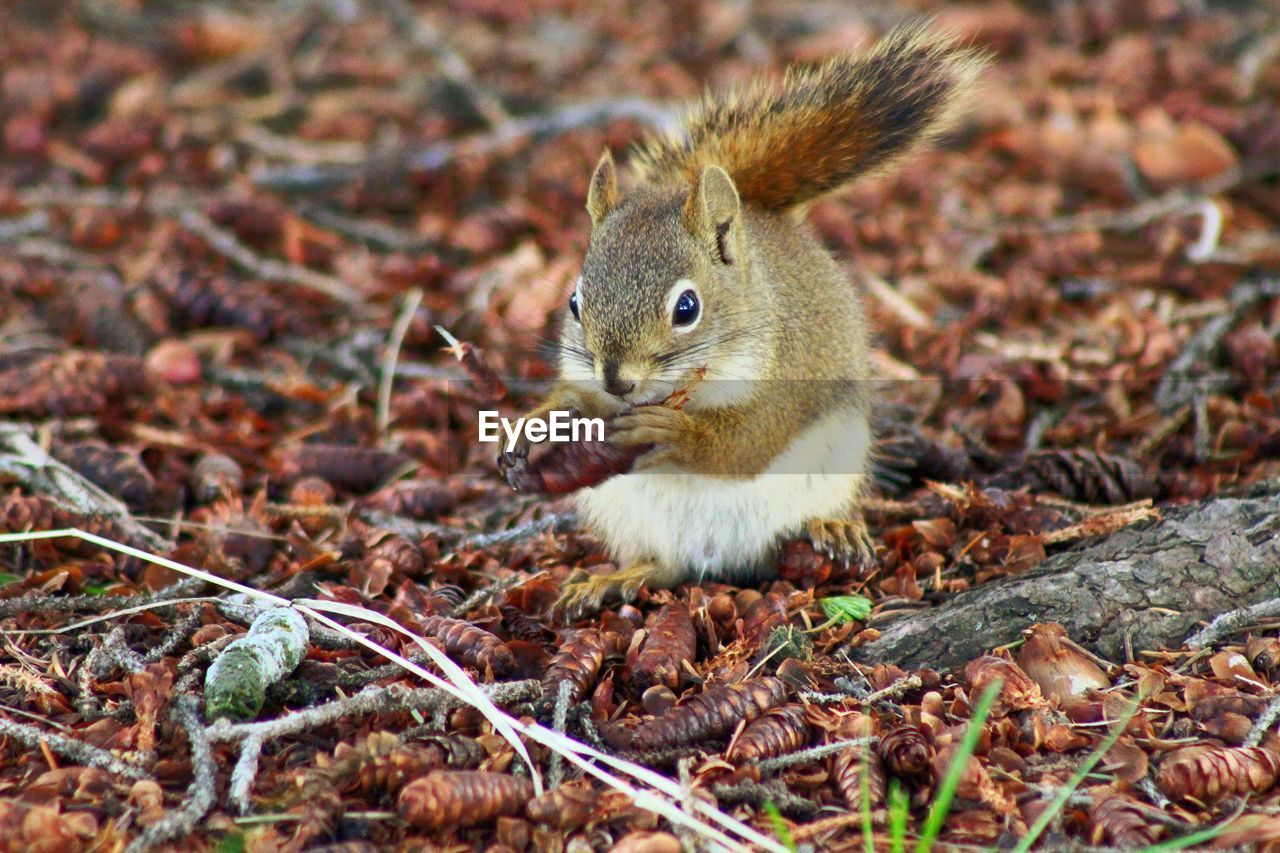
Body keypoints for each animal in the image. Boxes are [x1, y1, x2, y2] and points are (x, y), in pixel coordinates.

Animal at [504, 23, 983, 614]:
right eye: (574, 302)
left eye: (687, 307)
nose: (616, 381)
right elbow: (573, 398)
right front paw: (535, 424)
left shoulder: (788, 381)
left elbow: (745, 441)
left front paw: (678, 434)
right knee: (662, 566)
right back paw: (611, 579)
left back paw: (833, 528)